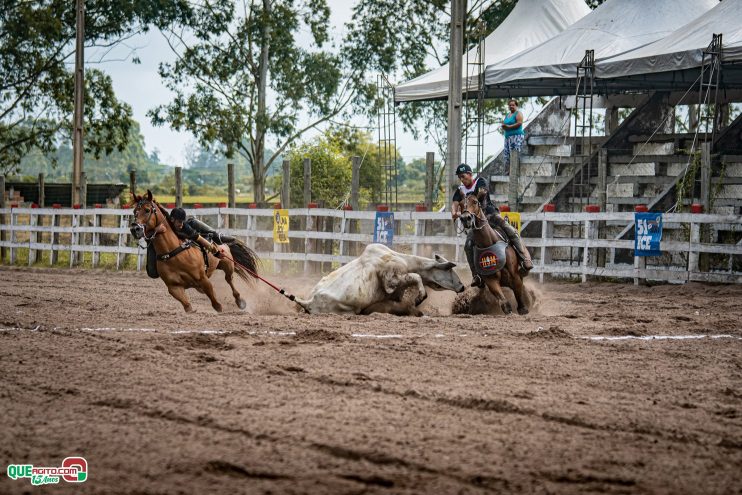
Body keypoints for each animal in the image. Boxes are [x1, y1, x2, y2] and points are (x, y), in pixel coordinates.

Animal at [131, 191, 262, 314]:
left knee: (229, 280)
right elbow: (187, 306)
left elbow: (216, 304)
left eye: (147, 210)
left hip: (227, 265)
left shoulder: (203, 279)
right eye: (134, 211)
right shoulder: (174, 287)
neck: (173, 252)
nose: (134, 229)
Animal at [296, 244, 464, 318]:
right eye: (450, 270)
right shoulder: (392, 280)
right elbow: (415, 277)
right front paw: (420, 297)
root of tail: (308, 302)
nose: (462, 287)